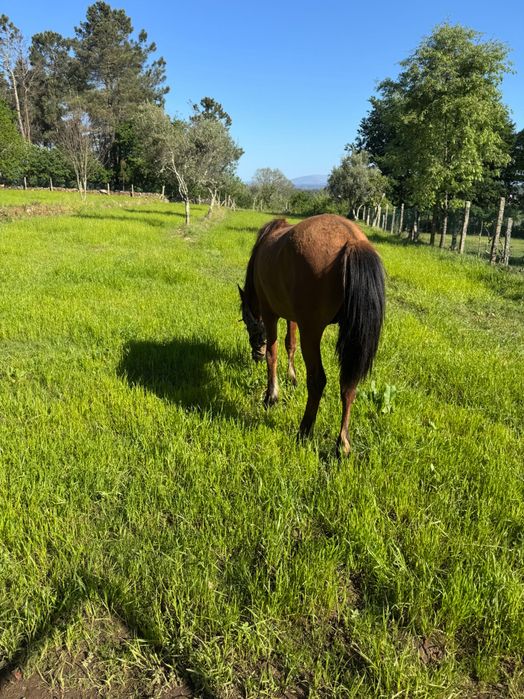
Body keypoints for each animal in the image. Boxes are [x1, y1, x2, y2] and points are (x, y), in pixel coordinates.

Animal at [238, 213, 385, 456]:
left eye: (248, 324)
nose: (254, 354)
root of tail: (352, 241)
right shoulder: (293, 317)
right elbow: (290, 344)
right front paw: (291, 377)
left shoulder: (270, 314)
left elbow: (273, 353)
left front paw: (271, 396)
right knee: (348, 384)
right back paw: (342, 444)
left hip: (312, 331)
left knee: (317, 380)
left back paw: (304, 430)